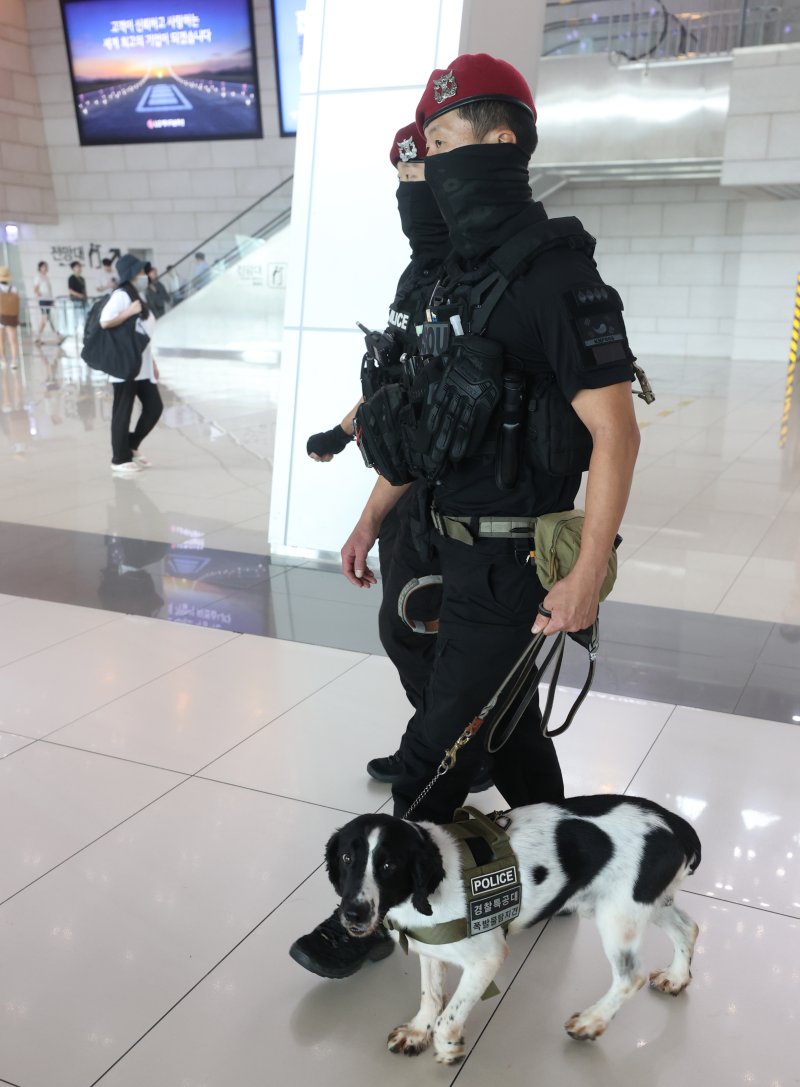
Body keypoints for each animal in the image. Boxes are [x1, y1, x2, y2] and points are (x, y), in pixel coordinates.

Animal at [326, 795, 700, 1065]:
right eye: (346, 858)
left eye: (389, 865)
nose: (353, 914)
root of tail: (677, 824)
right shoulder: (431, 949)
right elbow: (430, 996)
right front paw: (418, 1032)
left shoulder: (487, 959)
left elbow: (449, 1016)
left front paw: (448, 1047)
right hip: (647, 902)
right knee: (689, 928)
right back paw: (677, 977)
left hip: (618, 914)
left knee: (629, 977)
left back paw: (591, 1022)